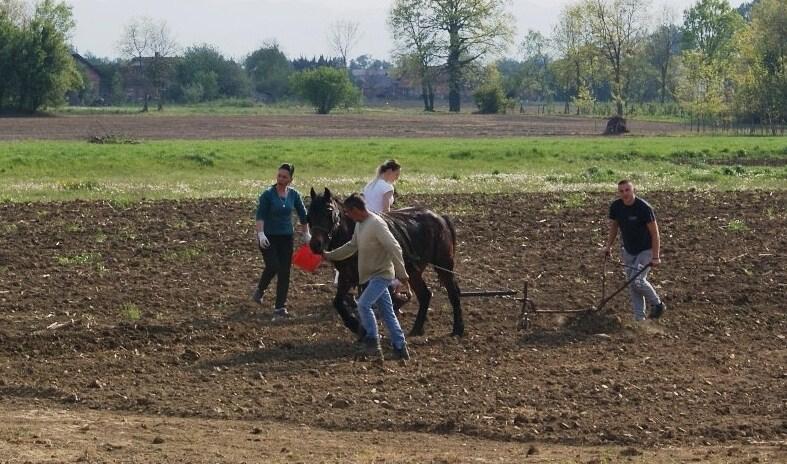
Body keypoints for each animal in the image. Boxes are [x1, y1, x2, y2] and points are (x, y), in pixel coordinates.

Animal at [308, 188, 464, 338]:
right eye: (309, 214)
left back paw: (458, 329)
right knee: (425, 295)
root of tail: (441, 218)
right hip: (413, 272)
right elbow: (338, 302)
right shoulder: (346, 277)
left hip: (444, 265)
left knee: (453, 294)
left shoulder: (366, 279)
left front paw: (362, 328)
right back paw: (416, 329)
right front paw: (353, 324)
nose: (315, 245)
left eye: (329, 212)